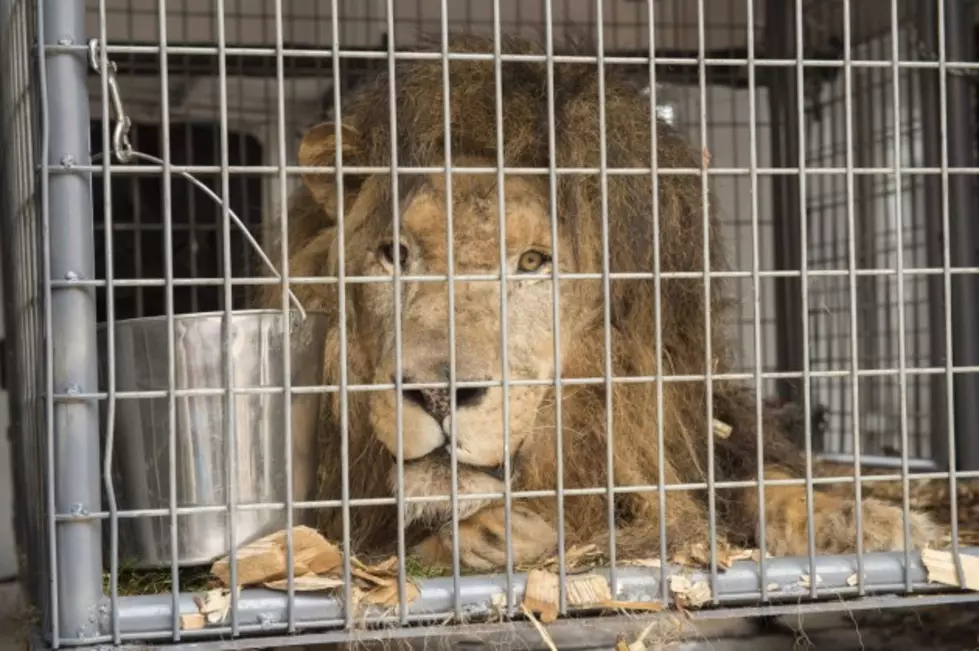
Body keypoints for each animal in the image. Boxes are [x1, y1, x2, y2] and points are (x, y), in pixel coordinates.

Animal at [255, 33, 940, 572]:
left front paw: (865, 521)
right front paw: (492, 534)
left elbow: (764, 478)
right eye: (395, 254)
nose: (440, 393)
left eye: (534, 263)